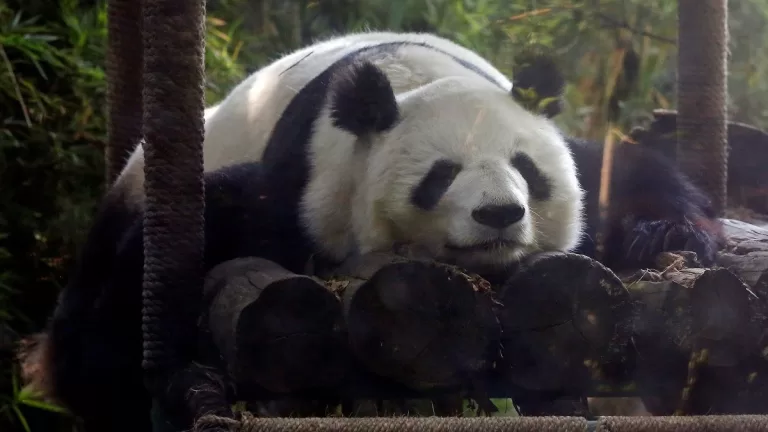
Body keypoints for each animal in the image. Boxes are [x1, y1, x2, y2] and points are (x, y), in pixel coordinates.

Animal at [28, 31, 722, 431]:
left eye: (526, 170)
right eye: (441, 176)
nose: (500, 214)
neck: (412, 78)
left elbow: (619, 172)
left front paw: (664, 234)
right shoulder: (302, 190)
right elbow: (214, 218)